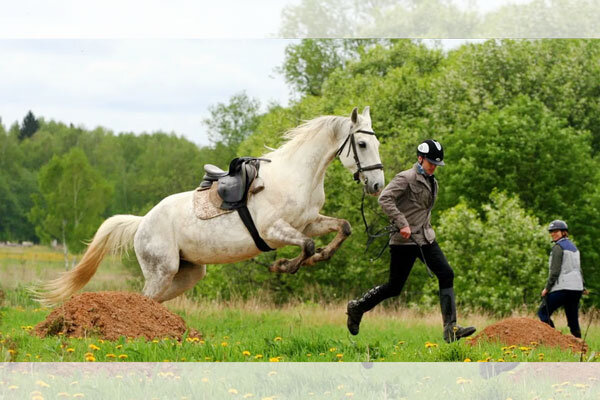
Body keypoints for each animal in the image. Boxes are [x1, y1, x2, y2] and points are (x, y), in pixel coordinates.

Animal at [37, 108, 384, 304]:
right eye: (362, 143)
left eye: (377, 142)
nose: (377, 185)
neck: (299, 174)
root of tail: (142, 222)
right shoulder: (275, 230)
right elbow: (308, 246)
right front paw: (284, 266)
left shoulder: (308, 222)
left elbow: (342, 228)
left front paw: (320, 257)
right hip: (162, 270)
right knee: (143, 299)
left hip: (186, 274)